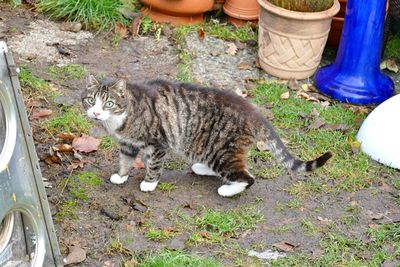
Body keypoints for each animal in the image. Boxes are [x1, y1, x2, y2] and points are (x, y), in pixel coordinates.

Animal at [82, 75, 332, 197]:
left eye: (109, 103)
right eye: (90, 100)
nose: (96, 112)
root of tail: (254, 113)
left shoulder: (158, 144)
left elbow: (153, 165)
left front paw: (149, 183)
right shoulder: (127, 145)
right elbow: (125, 161)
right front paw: (121, 176)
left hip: (221, 151)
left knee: (248, 177)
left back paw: (227, 190)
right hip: (210, 149)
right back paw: (202, 169)